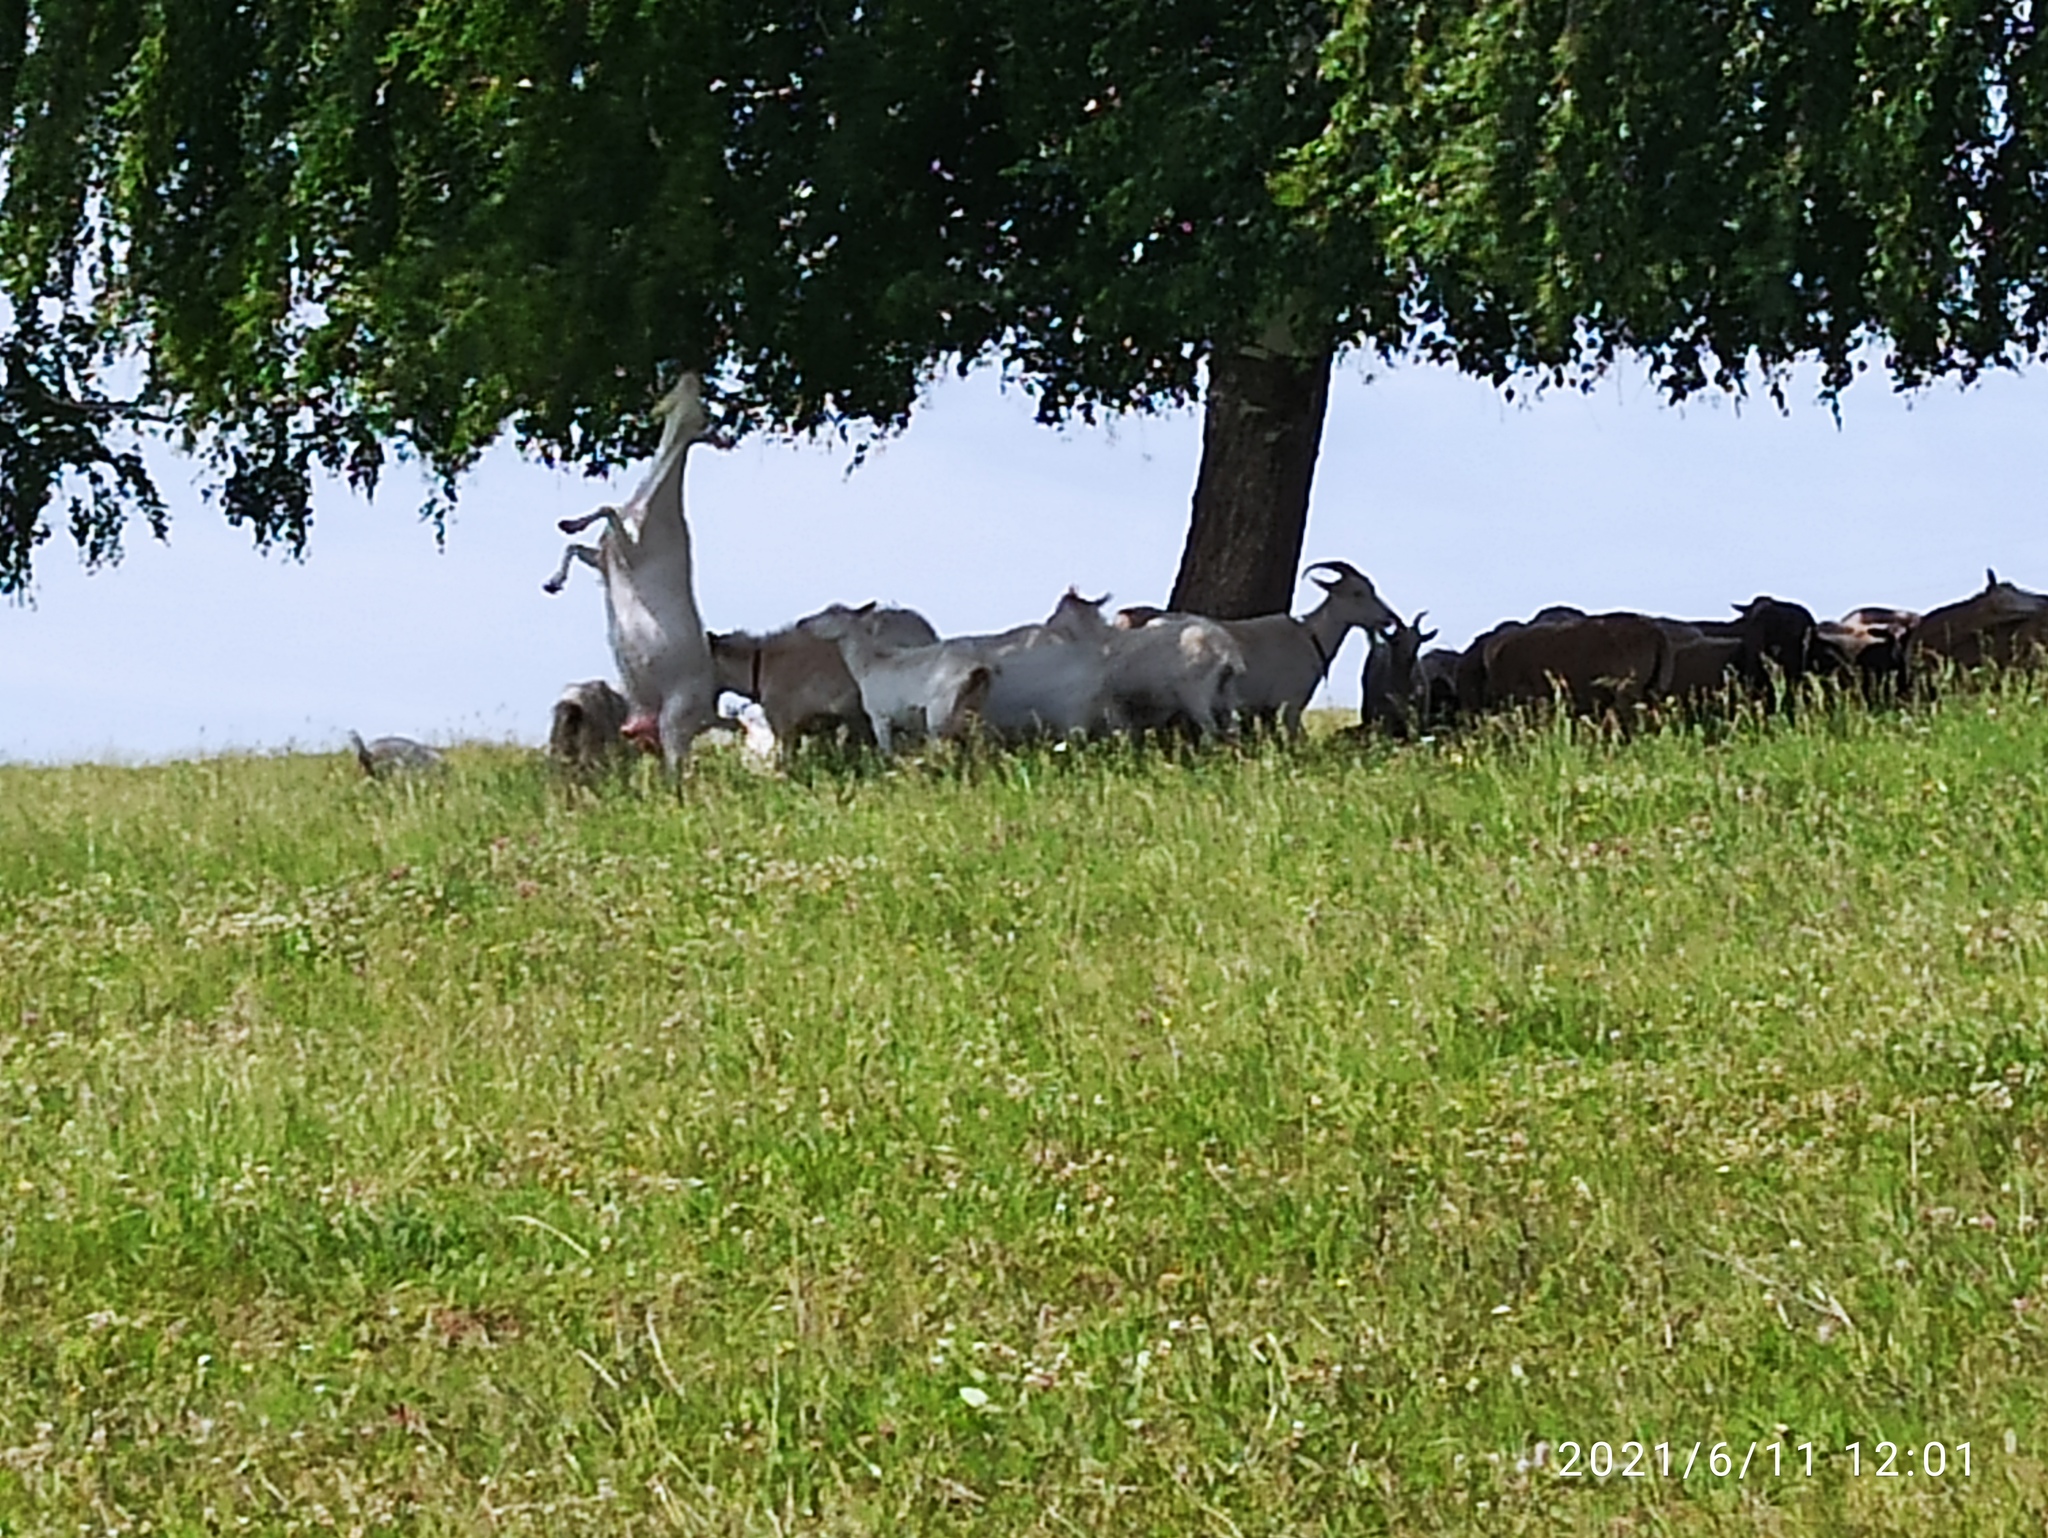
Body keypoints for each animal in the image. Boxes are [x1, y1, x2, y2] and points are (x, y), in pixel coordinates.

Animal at [544, 374, 720, 770]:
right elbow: (576, 547)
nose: (691, 374)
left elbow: (605, 508)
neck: (651, 508)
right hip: (647, 731)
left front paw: (569, 523)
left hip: (675, 720)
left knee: (680, 769)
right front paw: (553, 581)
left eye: (702, 410)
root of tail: (710, 711)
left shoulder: (633, 553)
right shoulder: (606, 558)